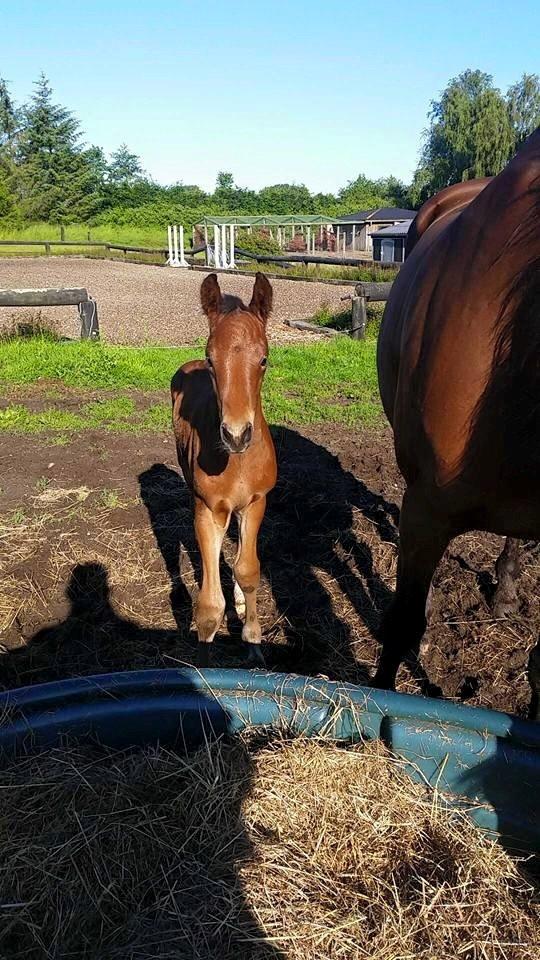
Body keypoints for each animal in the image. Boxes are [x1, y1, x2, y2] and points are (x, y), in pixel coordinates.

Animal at [172, 270, 276, 668]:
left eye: (264, 359)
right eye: (211, 358)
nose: (235, 434)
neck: (237, 462)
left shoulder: (257, 501)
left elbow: (248, 570)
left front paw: (253, 640)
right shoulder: (207, 508)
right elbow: (209, 606)